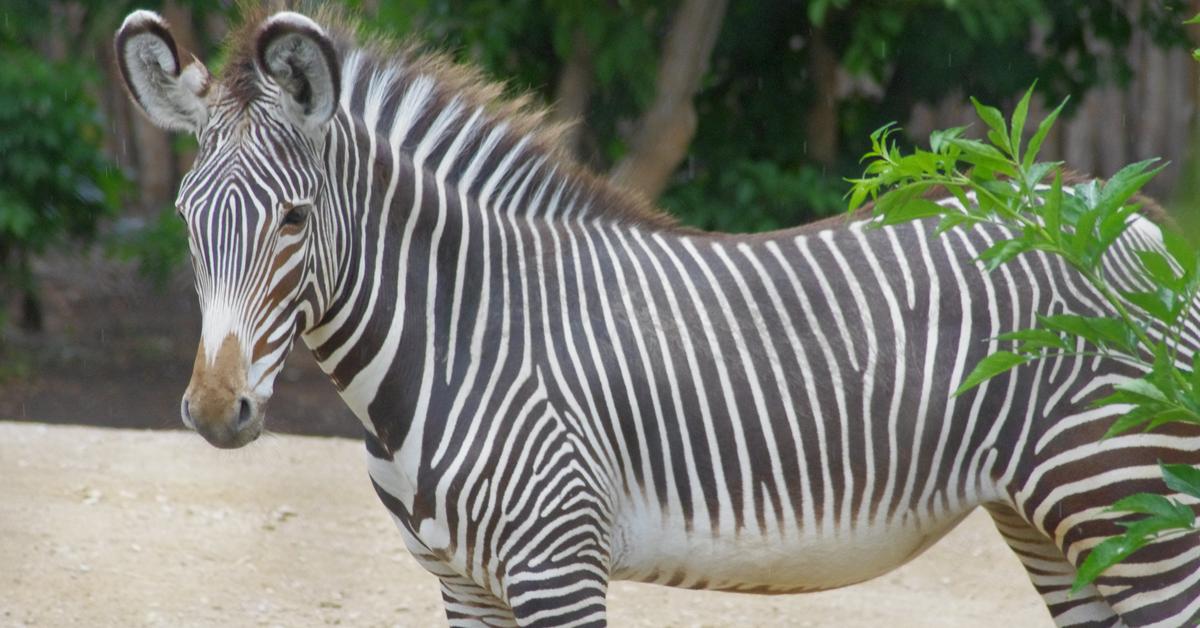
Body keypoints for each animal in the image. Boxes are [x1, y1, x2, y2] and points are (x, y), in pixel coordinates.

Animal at [117, 7, 1200, 624]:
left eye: (294, 220)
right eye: (185, 220)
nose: (214, 412)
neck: (459, 335)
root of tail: (1134, 217)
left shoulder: (557, 565)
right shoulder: (462, 585)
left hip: (1135, 509)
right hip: (1051, 521)